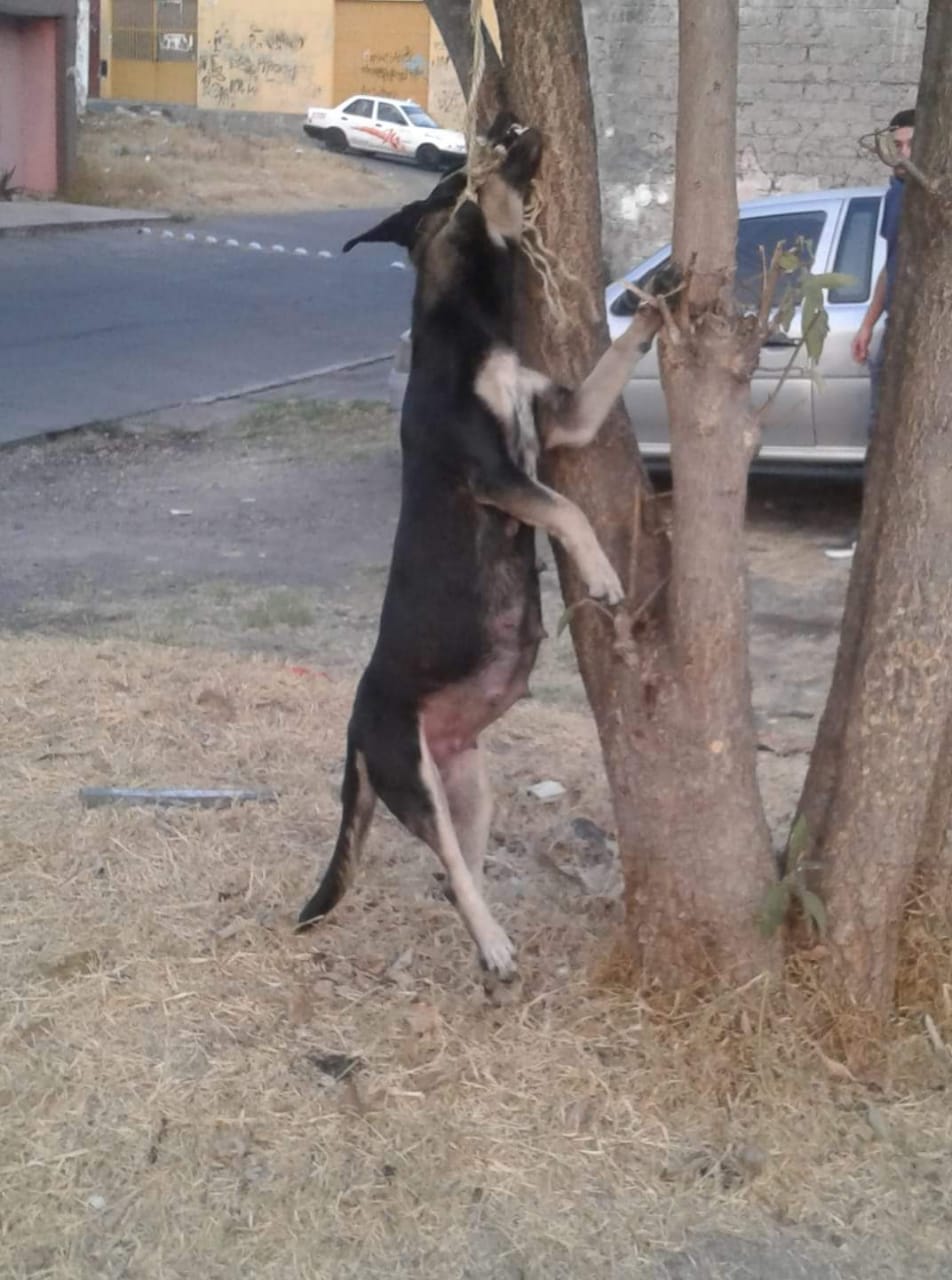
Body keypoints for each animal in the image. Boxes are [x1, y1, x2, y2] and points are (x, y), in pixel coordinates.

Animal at [296, 115, 660, 983]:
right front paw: (602, 576)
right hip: (414, 777)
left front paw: (659, 307)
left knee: (454, 866)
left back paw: (490, 938)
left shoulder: (565, 418)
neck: (467, 324)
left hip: (469, 781)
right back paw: (493, 944)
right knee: (453, 871)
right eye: (460, 170)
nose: (510, 121)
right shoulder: (495, 474)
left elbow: (611, 365)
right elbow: (567, 509)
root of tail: (355, 727)